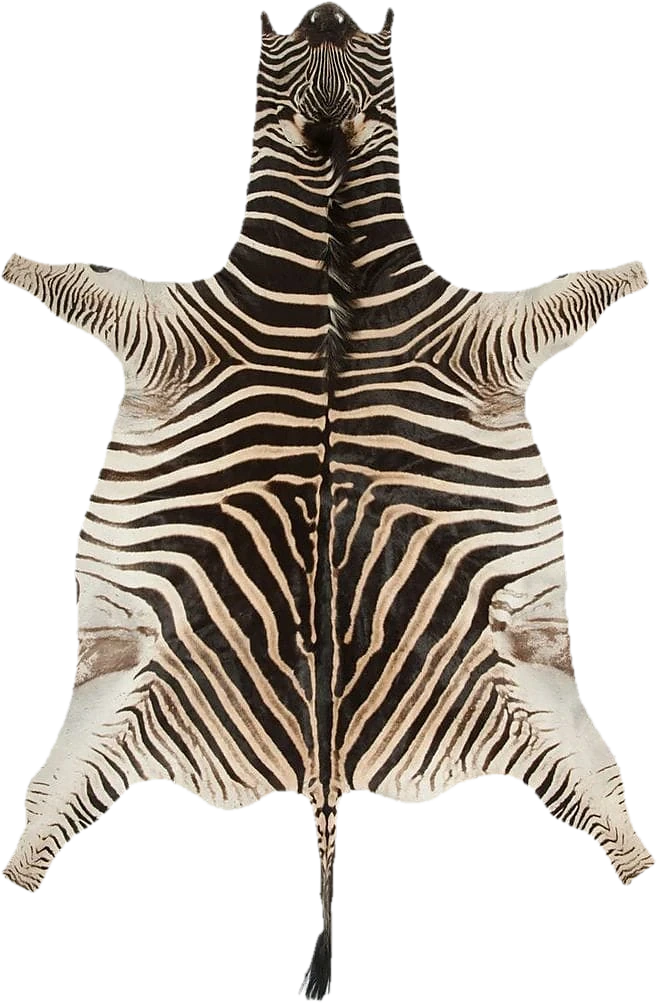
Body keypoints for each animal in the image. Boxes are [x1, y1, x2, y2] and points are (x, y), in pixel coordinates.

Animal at [0, 2, 654, 999]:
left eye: (371, 42)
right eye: (280, 42)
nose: (326, 11)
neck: (330, 247)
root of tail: (324, 766)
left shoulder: (472, 335)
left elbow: (578, 290)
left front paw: (641, 271)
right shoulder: (180, 331)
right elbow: (72, 279)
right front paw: (9, 262)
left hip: (512, 691)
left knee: (598, 795)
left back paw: (635, 857)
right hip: (130, 695)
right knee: (52, 802)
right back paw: (17, 866)